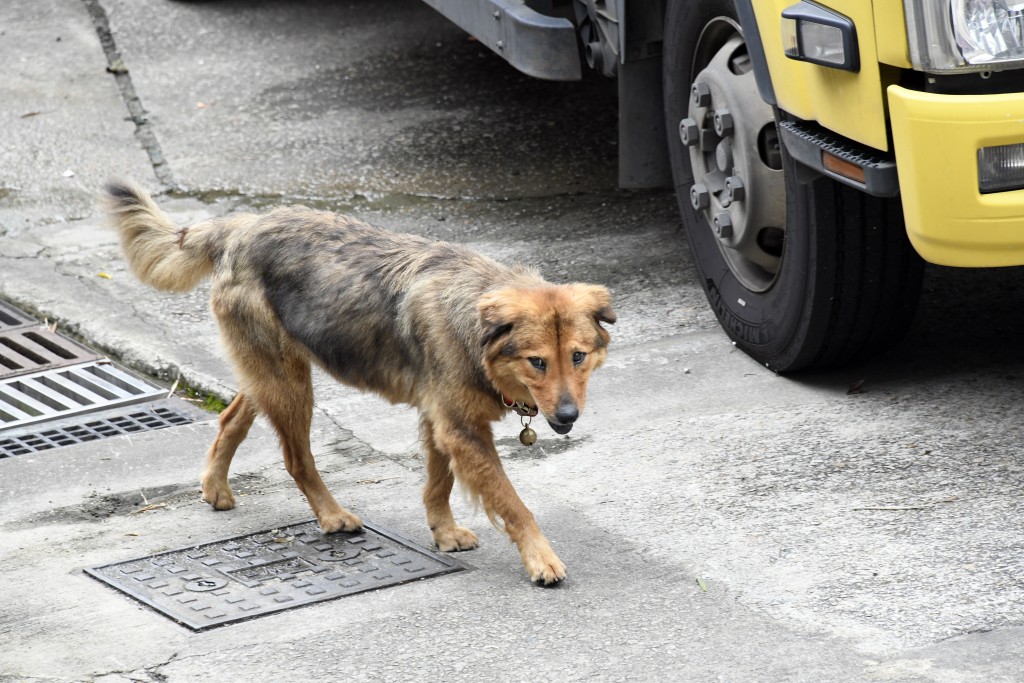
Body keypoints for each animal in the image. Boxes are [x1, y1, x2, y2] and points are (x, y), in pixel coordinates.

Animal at [101, 183, 614, 589]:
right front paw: (541, 559)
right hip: (291, 386)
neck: (472, 319)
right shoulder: (462, 429)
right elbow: (514, 504)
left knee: (231, 418)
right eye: (537, 362)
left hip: (271, 375)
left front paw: (443, 532)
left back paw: (215, 487)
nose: (568, 417)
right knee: (296, 459)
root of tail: (240, 228)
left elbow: (439, 483)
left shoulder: (441, 422)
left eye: (578, 357)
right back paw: (331, 516)